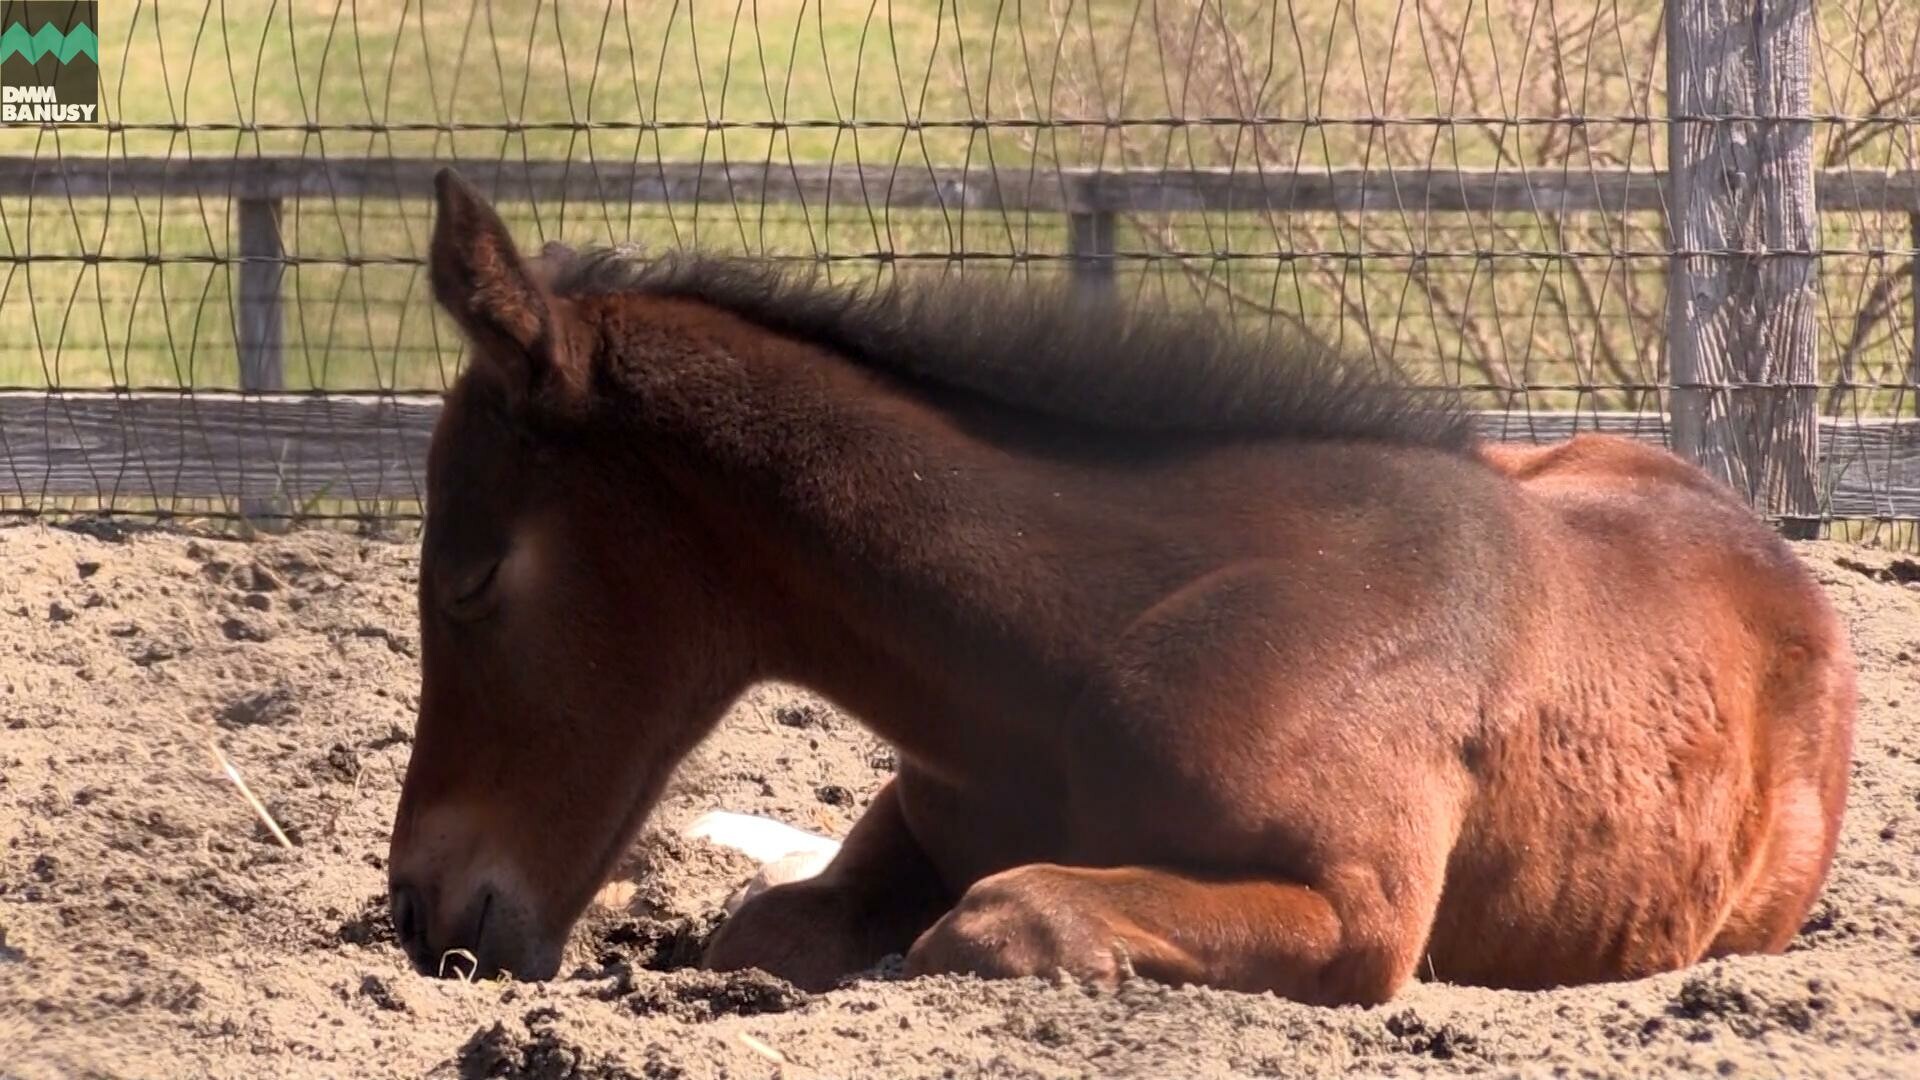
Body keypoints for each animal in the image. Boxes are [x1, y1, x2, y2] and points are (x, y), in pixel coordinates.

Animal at [382, 170, 1850, 999]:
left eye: (470, 580)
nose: (422, 914)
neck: (1079, 655)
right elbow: (768, 929)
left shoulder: (1361, 913)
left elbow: (994, 921)